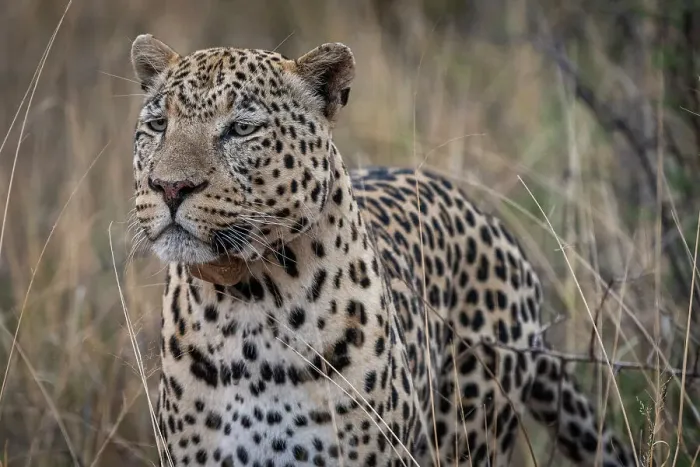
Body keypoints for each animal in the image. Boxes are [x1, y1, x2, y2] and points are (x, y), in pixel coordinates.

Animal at [129, 34, 641, 467]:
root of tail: (493, 222)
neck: (247, 307)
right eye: (157, 124)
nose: (170, 186)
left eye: (241, 129)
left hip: (470, 432)